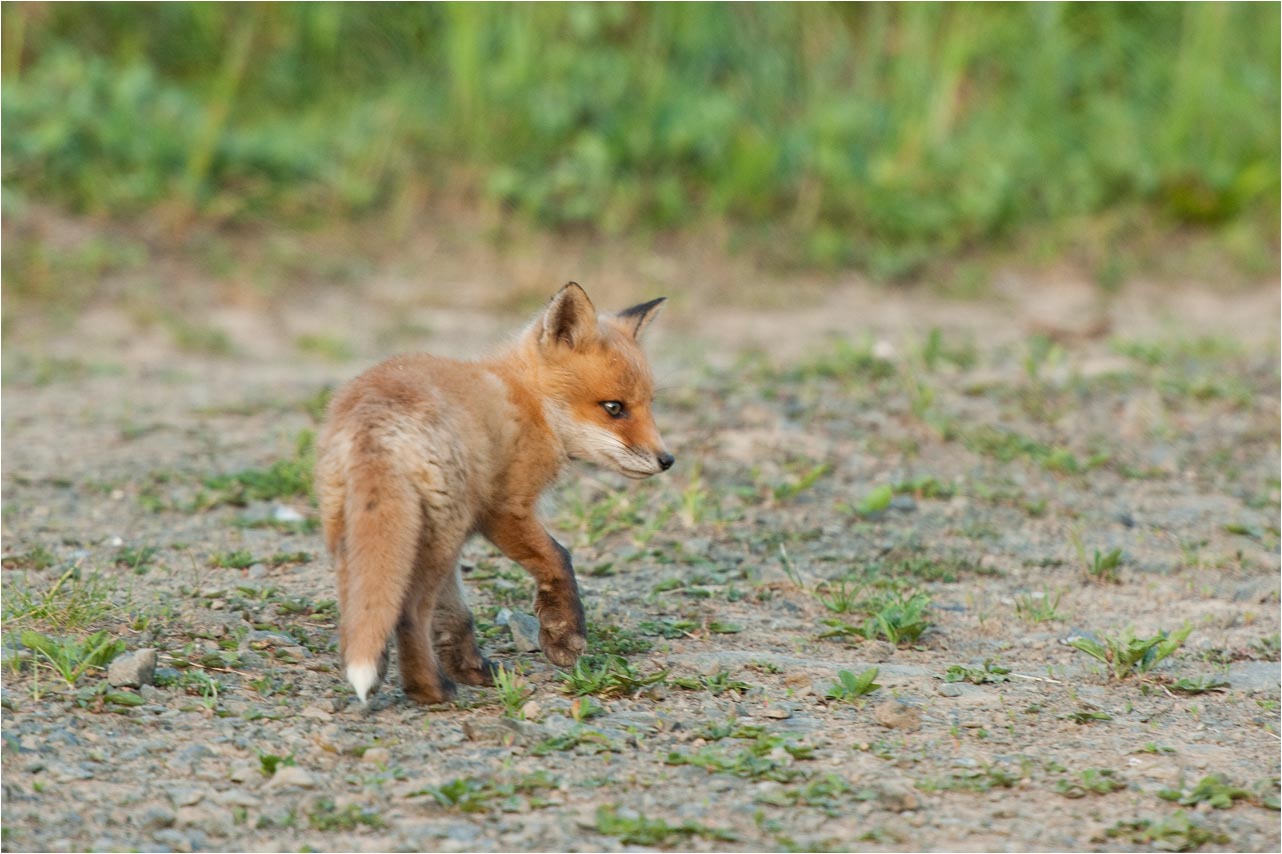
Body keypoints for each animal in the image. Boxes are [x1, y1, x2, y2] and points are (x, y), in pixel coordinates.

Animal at [315, 282, 671, 702]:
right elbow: (559, 559)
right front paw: (564, 637)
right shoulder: (506, 511)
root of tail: (375, 421)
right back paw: (431, 690)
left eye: (649, 405)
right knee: (410, 612)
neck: (531, 402)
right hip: (437, 539)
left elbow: (456, 615)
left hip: (366, 540)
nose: (667, 460)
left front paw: (473, 668)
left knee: (365, 609)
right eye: (614, 407)